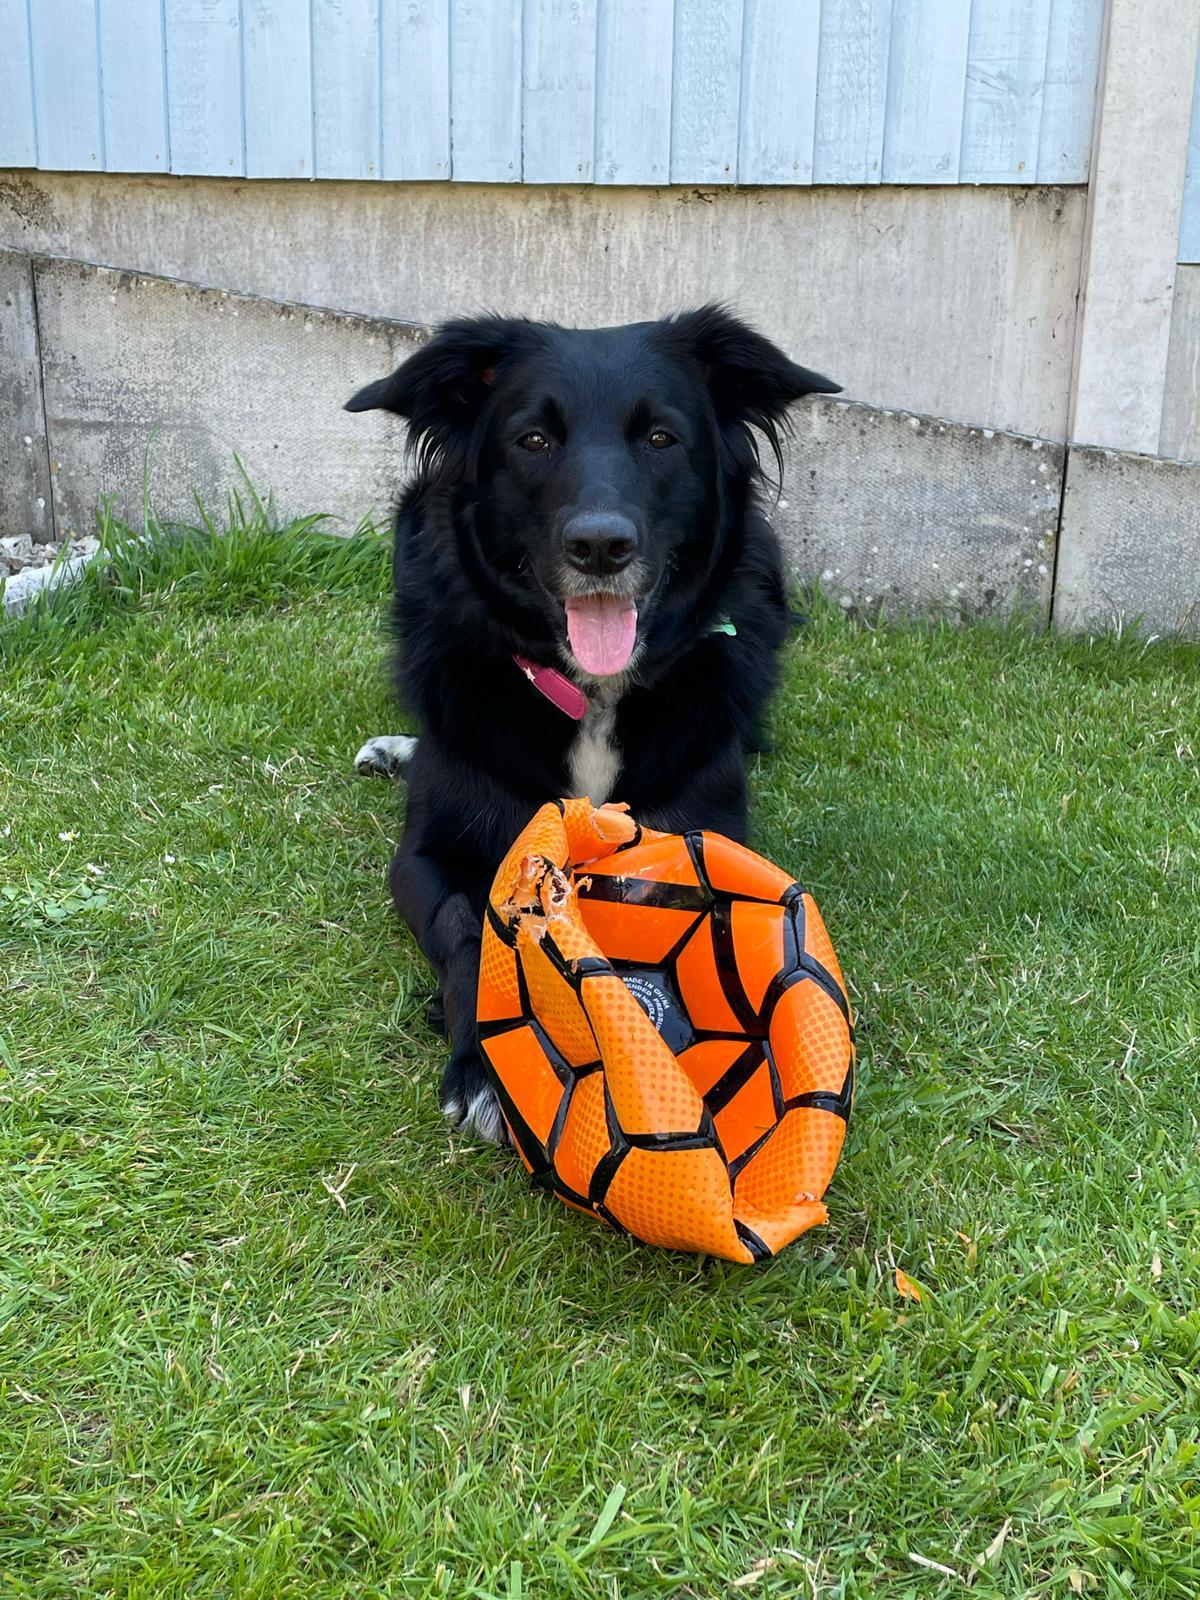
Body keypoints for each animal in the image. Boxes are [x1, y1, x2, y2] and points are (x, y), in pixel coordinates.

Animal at [345, 305, 838, 1145]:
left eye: (661, 437)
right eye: (534, 440)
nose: (600, 547)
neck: (593, 692)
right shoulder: (427, 854)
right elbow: (468, 924)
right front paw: (485, 1069)